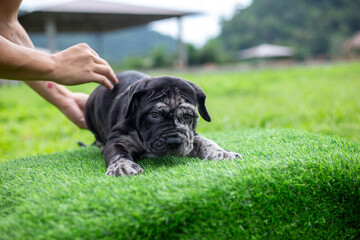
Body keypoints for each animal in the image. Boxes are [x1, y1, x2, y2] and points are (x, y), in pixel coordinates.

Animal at [85, 70, 240, 176]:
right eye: (154, 115)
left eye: (187, 116)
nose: (174, 141)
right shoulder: (118, 138)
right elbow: (117, 152)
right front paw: (122, 166)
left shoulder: (190, 136)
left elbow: (206, 142)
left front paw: (222, 153)